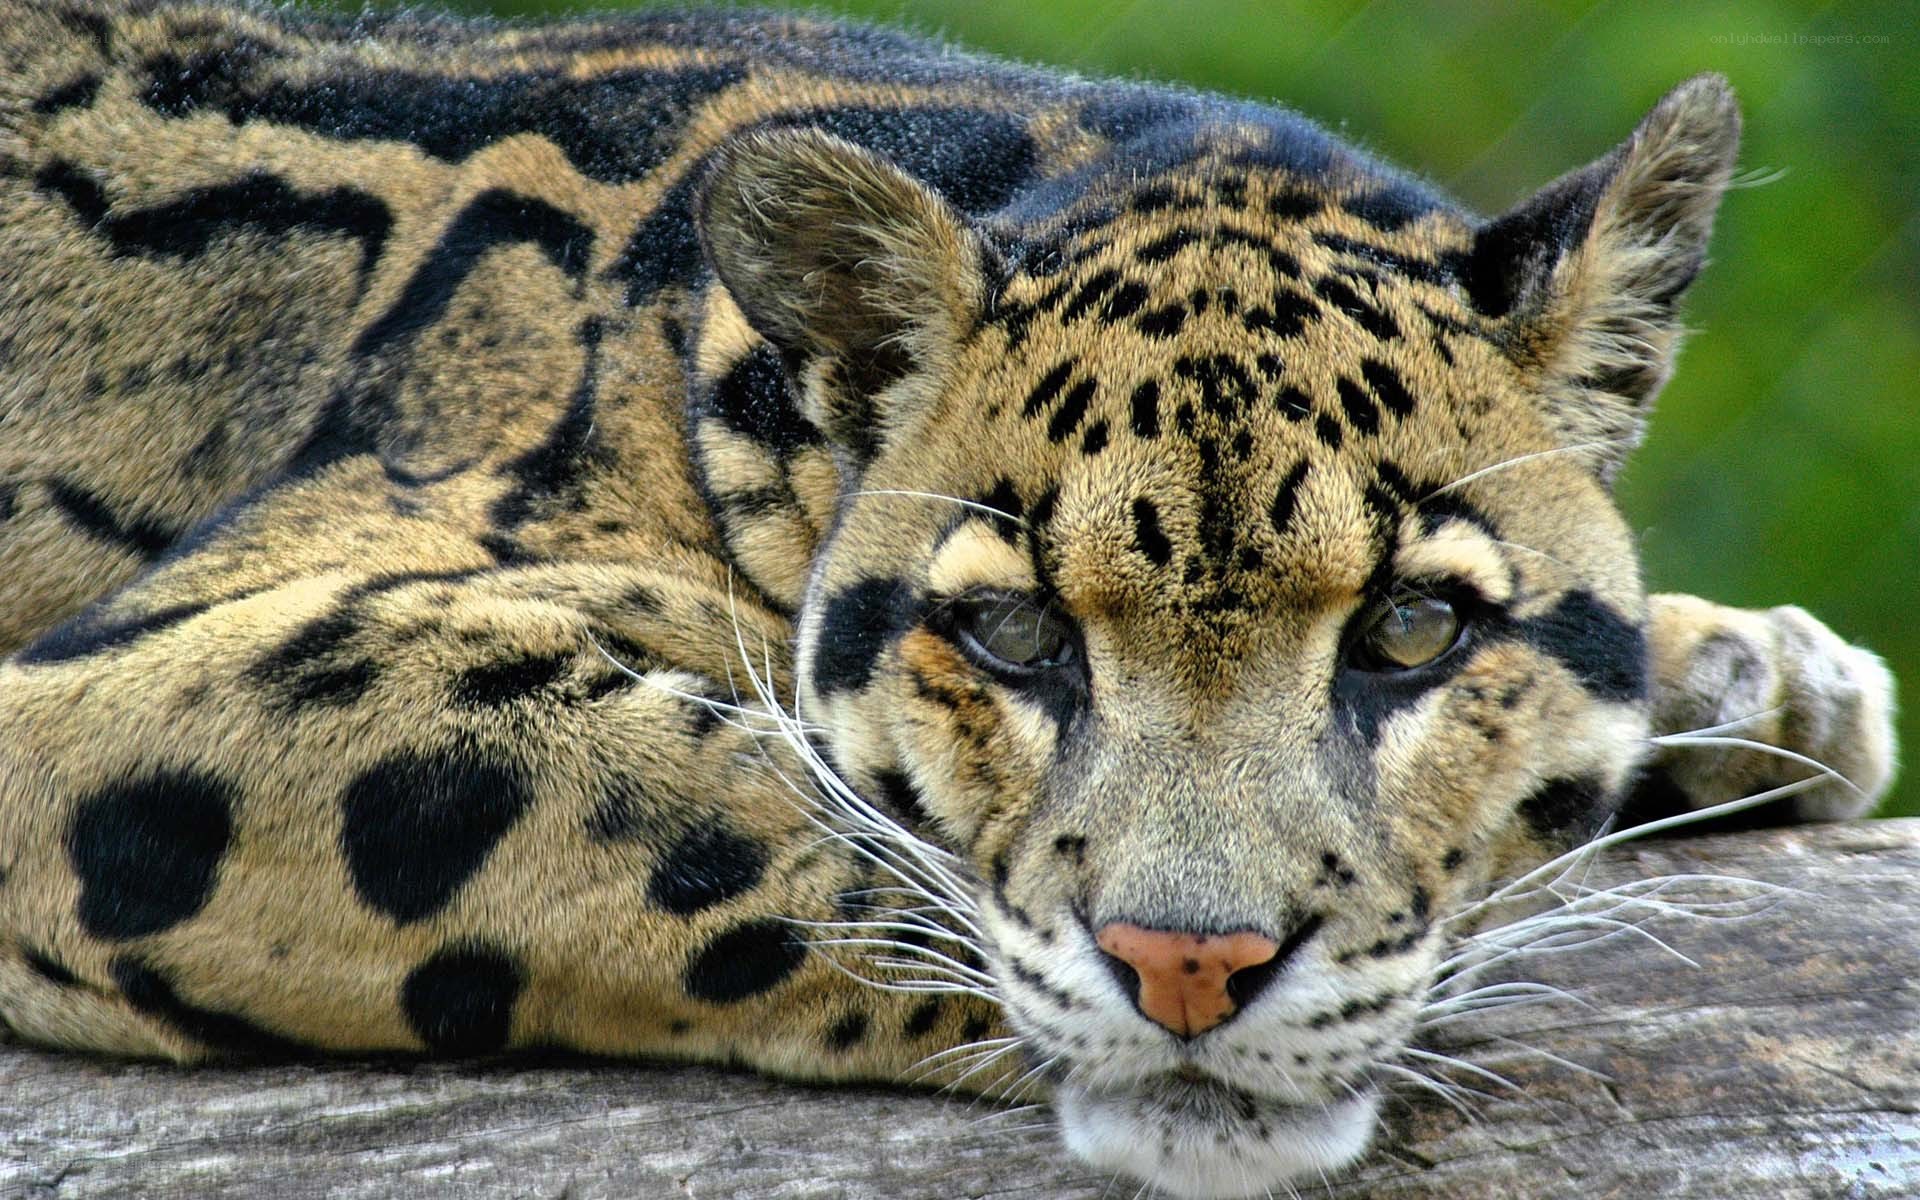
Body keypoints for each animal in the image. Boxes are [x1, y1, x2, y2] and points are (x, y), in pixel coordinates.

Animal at [0, 2, 1898, 1197]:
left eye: (1411, 633)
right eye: (1012, 635)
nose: (1191, 969)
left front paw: (1754, 678)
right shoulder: (113, 694)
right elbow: (728, 804)